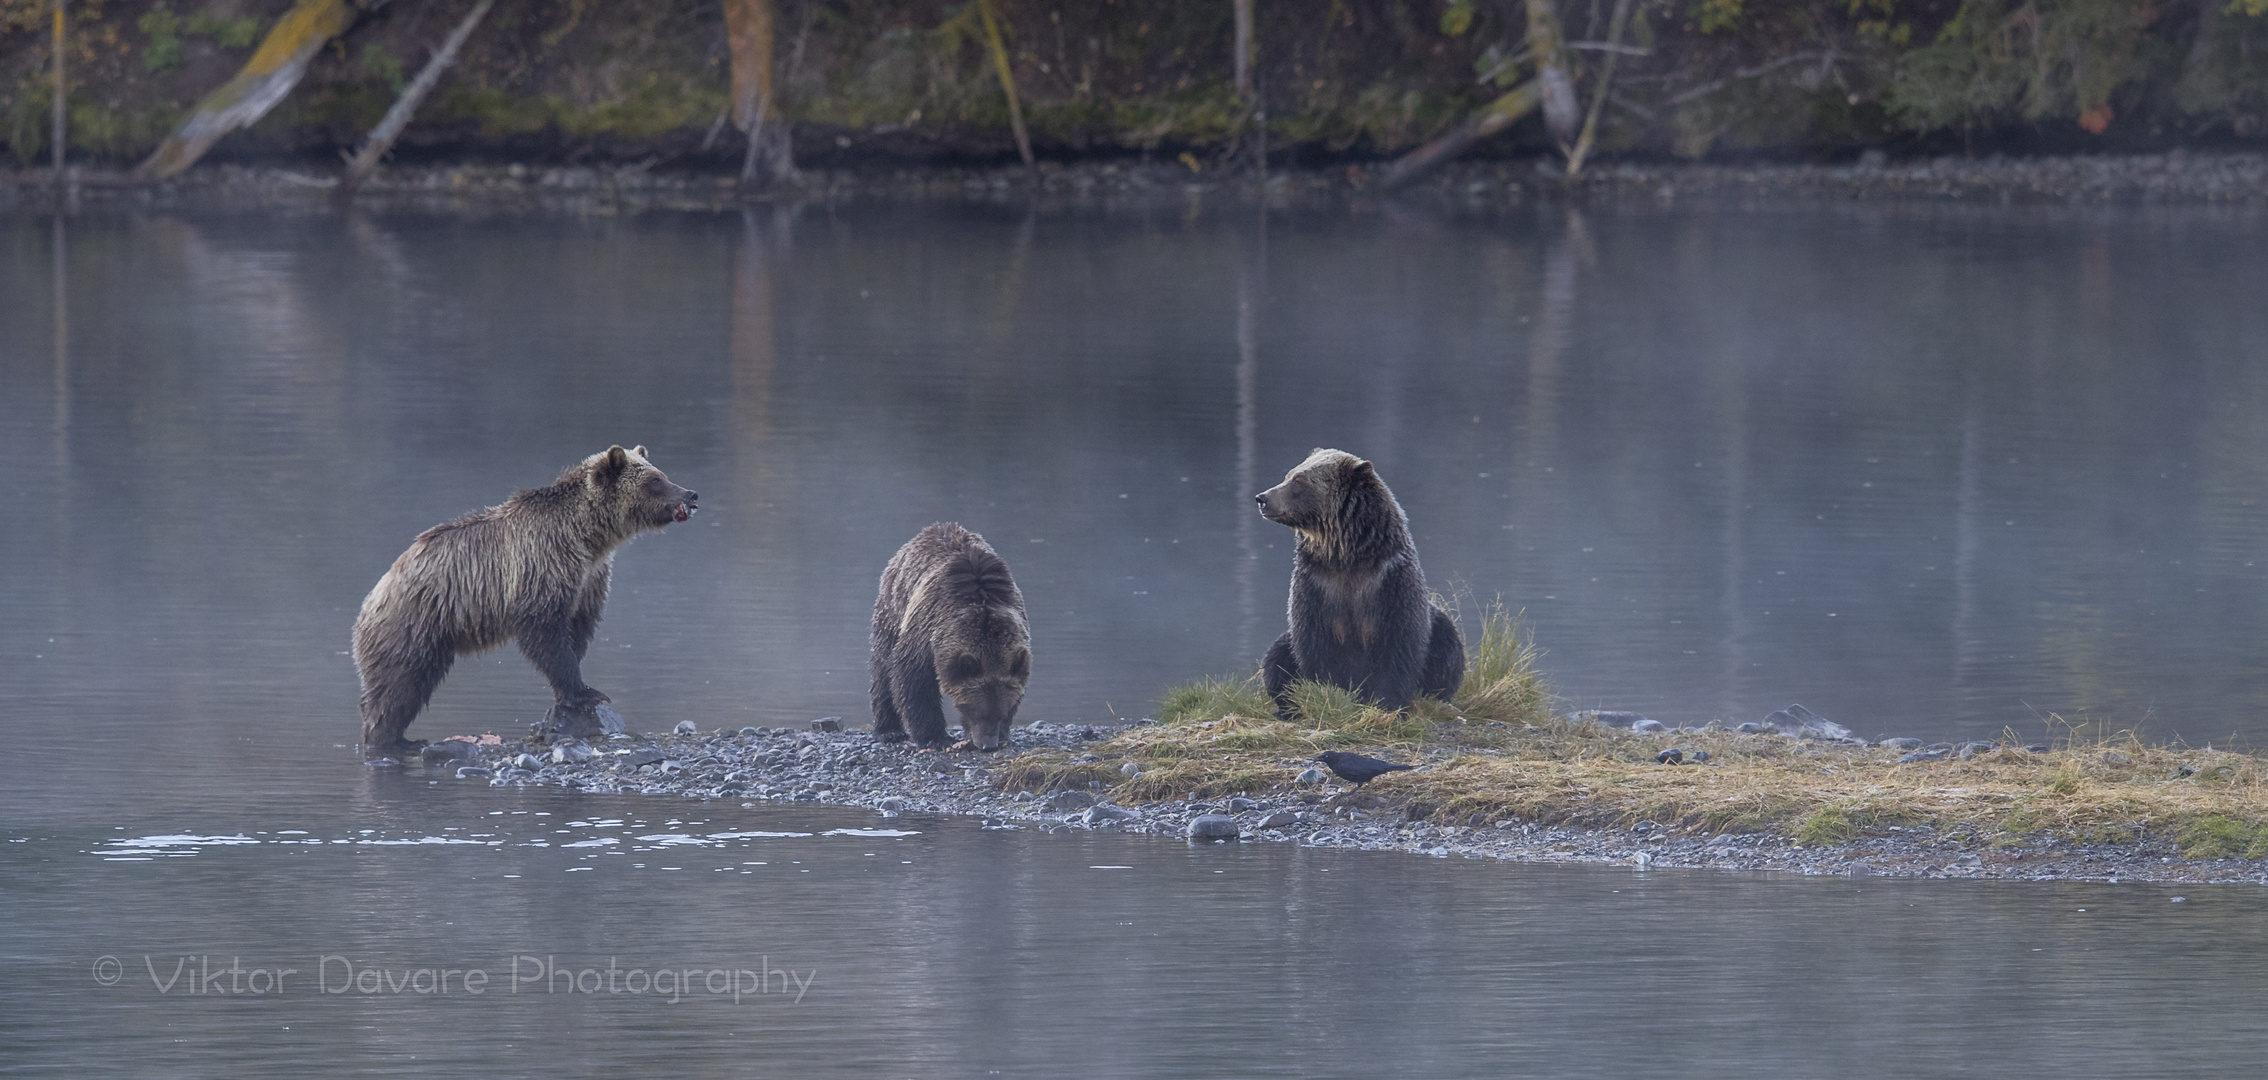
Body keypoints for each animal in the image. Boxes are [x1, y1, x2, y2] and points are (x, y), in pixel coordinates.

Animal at [344, 442, 694, 753]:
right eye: (655, 480)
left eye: (661, 473)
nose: (691, 494)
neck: (588, 538)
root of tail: (371, 598)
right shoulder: (542, 565)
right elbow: (544, 632)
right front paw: (585, 692)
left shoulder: (589, 579)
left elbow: (578, 628)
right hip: (410, 626)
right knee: (398, 686)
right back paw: (389, 738)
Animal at [870, 524, 1034, 748]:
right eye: (974, 710)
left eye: (1000, 712)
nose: (988, 745)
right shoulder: (925, 627)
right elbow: (913, 678)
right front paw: (934, 737)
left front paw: (1003, 733)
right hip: (893, 607)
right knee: (883, 666)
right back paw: (889, 730)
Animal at [1251, 446, 1460, 716]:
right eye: (1288, 475)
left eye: (1299, 481)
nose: (1262, 498)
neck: (1345, 556)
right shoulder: (1315, 584)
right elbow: (1313, 647)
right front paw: (1328, 694)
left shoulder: (1389, 581)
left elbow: (1399, 643)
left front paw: (1388, 703)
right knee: (1277, 656)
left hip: (1439, 629)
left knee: (1447, 646)